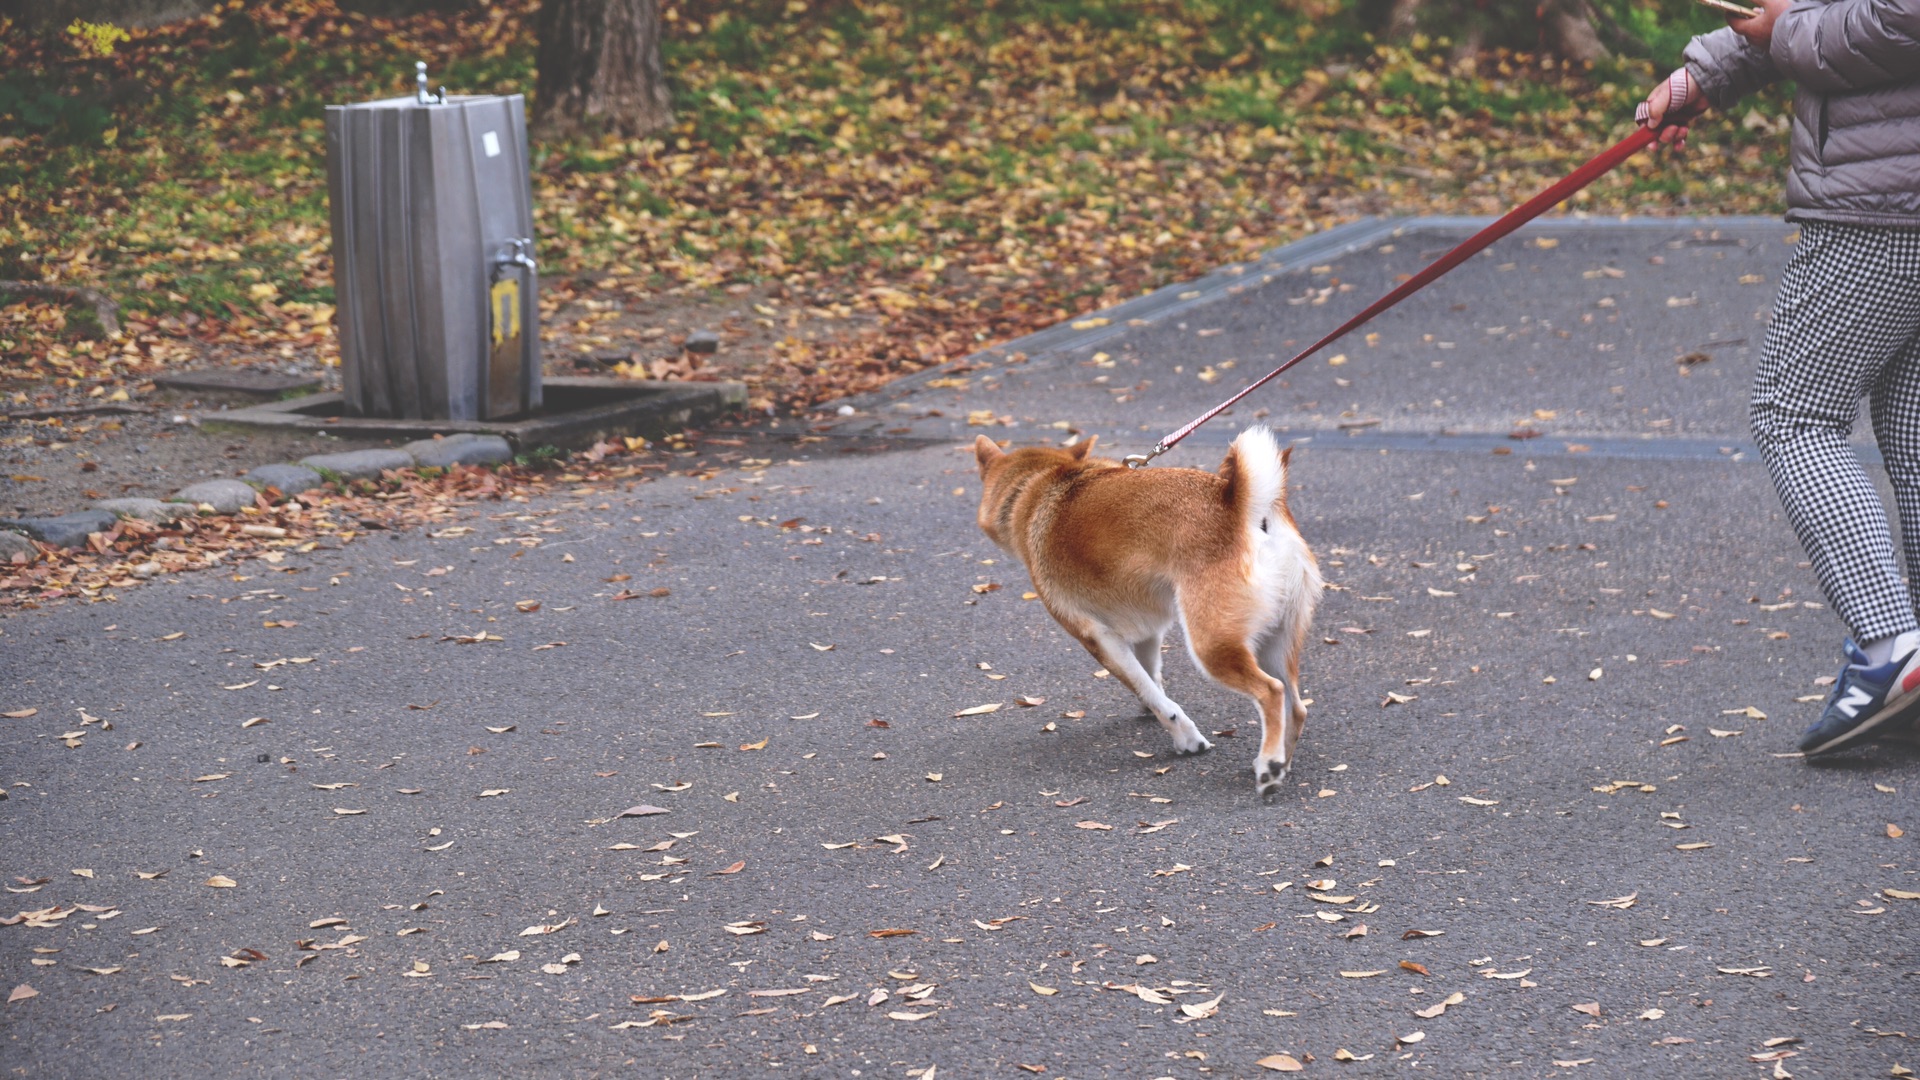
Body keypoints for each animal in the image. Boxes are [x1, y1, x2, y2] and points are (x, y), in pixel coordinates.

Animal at [975, 424, 1320, 795]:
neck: (1040, 486)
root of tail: (1239, 502)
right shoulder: (1148, 633)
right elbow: (1151, 679)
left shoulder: (1098, 639)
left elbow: (1152, 694)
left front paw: (1185, 737)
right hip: (1275, 643)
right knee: (1295, 707)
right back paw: (1277, 762)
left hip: (1211, 647)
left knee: (1271, 692)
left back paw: (1269, 766)